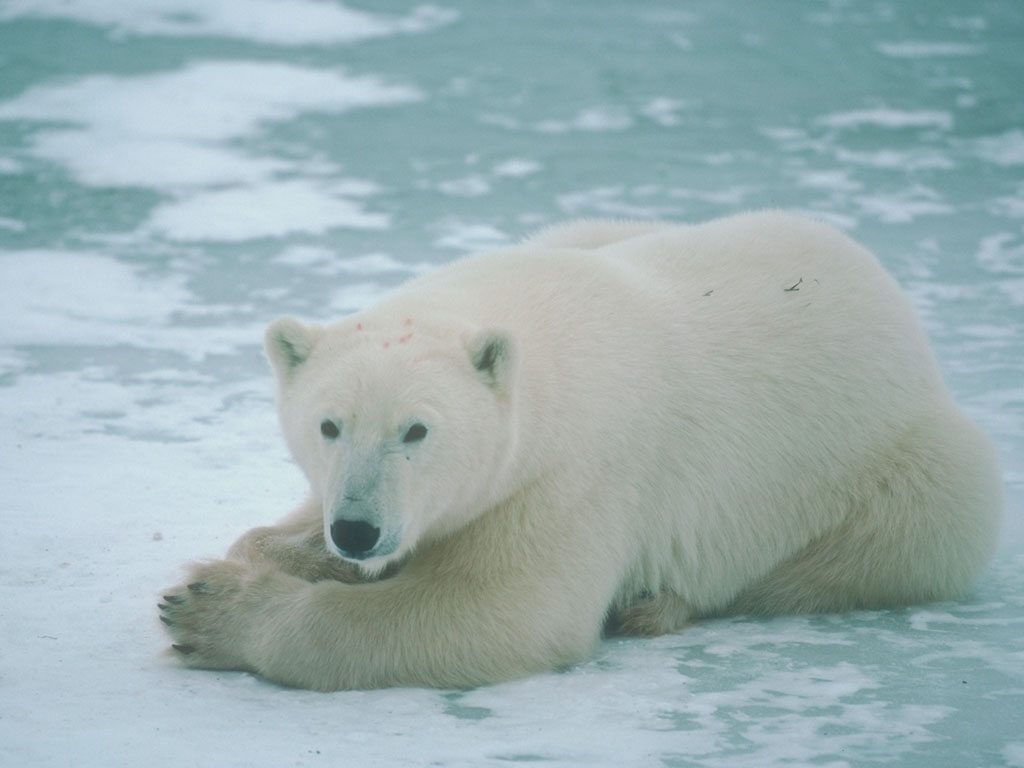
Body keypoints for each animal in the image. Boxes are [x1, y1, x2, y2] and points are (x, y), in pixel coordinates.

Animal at [159, 208, 999, 692]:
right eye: (329, 426)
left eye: (417, 430)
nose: (359, 530)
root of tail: (894, 297)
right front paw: (283, 555)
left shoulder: (574, 475)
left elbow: (505, 611)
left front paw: (208, 611)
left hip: (902, 464)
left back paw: (655, 601)